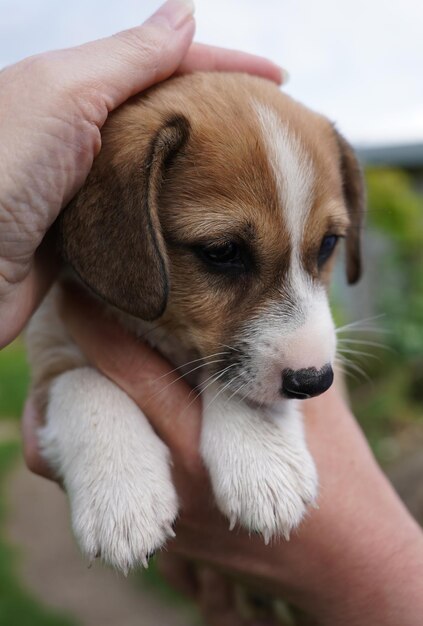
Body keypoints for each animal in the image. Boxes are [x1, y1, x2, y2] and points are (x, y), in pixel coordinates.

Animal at [25, 72, 364, 572]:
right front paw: (121, 496)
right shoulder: (50, 355)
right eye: (222, 252)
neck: (164, 331)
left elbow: (229, 377)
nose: (314, 382)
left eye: (328, 245)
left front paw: (261, 457)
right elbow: (83, 383)